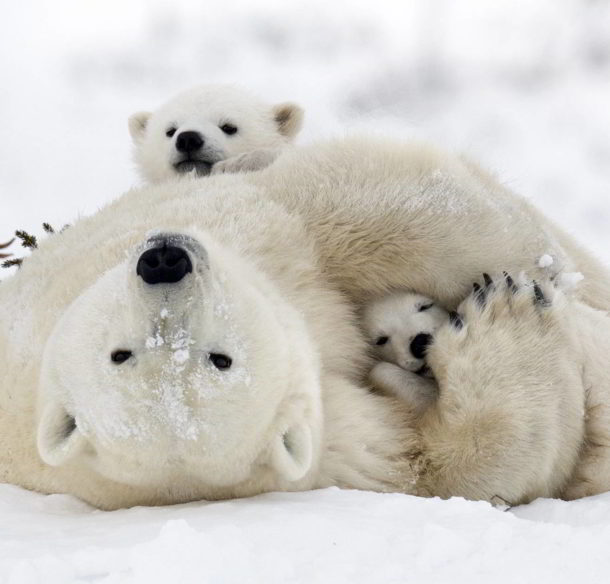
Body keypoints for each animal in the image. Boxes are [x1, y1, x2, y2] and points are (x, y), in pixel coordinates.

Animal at [1, 138, 608, 512]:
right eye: (222, 358)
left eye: (117, 352)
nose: (164, 262)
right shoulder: (330, 448)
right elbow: (440, 468)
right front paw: (509, 309)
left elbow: (343, 210)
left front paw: (544, 267)